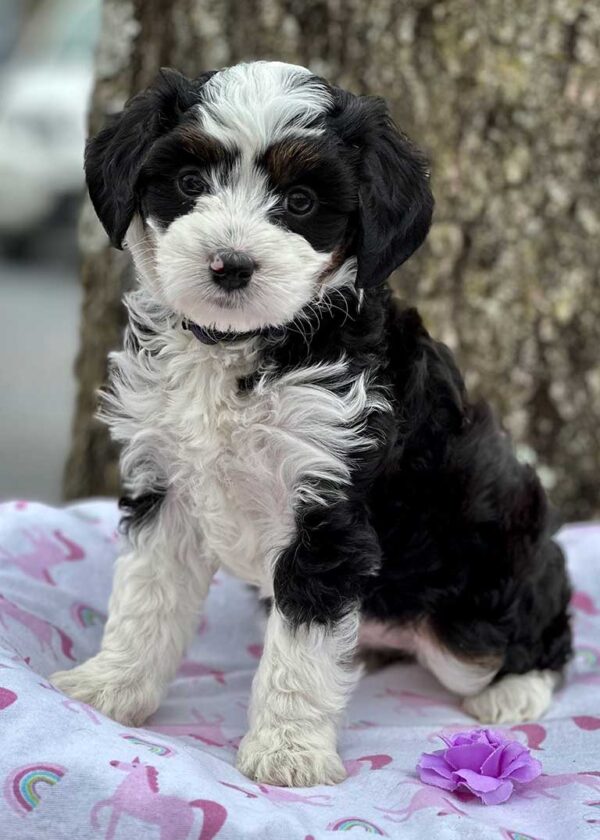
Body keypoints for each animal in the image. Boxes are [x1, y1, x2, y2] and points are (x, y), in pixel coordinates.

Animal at [51, 60, 572, 788]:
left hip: (480, 595)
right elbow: (144, 600)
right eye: (190, 183)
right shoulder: (166, 492)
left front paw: (287, 752)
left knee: (533, 633)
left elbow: (300, 652)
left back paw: (513, 689)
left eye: (300, 202)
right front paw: (110, 688)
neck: (240, 350)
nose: (230, 265)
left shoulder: (327, 513)